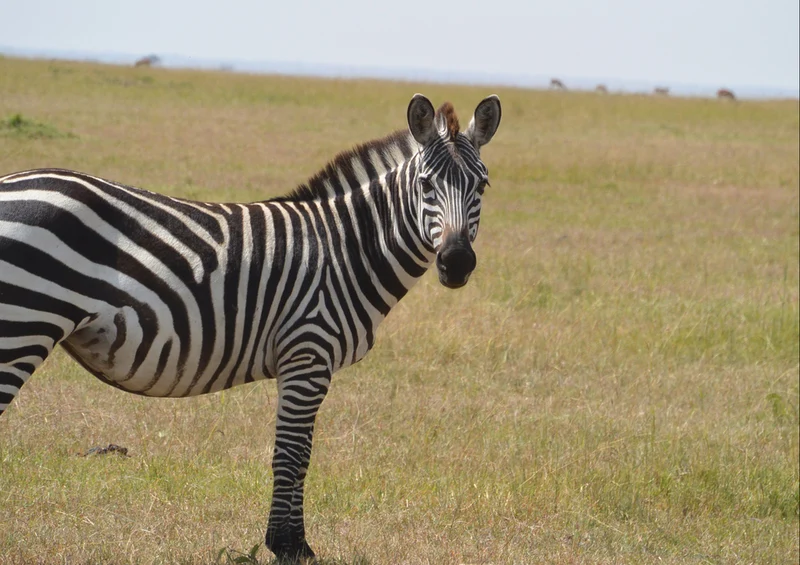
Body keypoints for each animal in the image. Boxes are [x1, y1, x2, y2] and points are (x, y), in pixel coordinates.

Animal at [0, 93, 501, 560]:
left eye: (482, 185)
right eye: (426, 185)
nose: (456, 263)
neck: (349, 247)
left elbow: (297, 452)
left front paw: (291, 543)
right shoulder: (308, 353)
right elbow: (293, 454)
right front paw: (289, 546)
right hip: (22, 324)